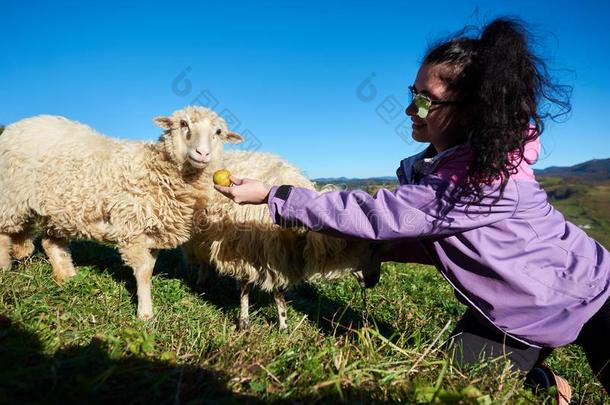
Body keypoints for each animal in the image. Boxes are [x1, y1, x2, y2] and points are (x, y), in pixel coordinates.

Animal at [0, 106, 242, 318]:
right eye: (183, 123)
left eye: (218, 132)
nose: (203, 153)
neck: (157, 168)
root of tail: (18, 126)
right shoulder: (132, 228)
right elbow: (143, 271)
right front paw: (145, 313)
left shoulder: (153, 232)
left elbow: (149, 268)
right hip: (12, 197)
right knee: (4, 234)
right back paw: (4, 269)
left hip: (62, 210)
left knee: (51, 243)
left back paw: (67, 278)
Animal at [182, 150, 380, 330]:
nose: (374, 280)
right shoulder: (245, 249)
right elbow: (247, 288)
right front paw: (244, 322)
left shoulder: (278, 256)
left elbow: (278, 294)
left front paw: (283, 325)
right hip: (198, 238)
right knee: (203, 260)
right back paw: (201, 283)